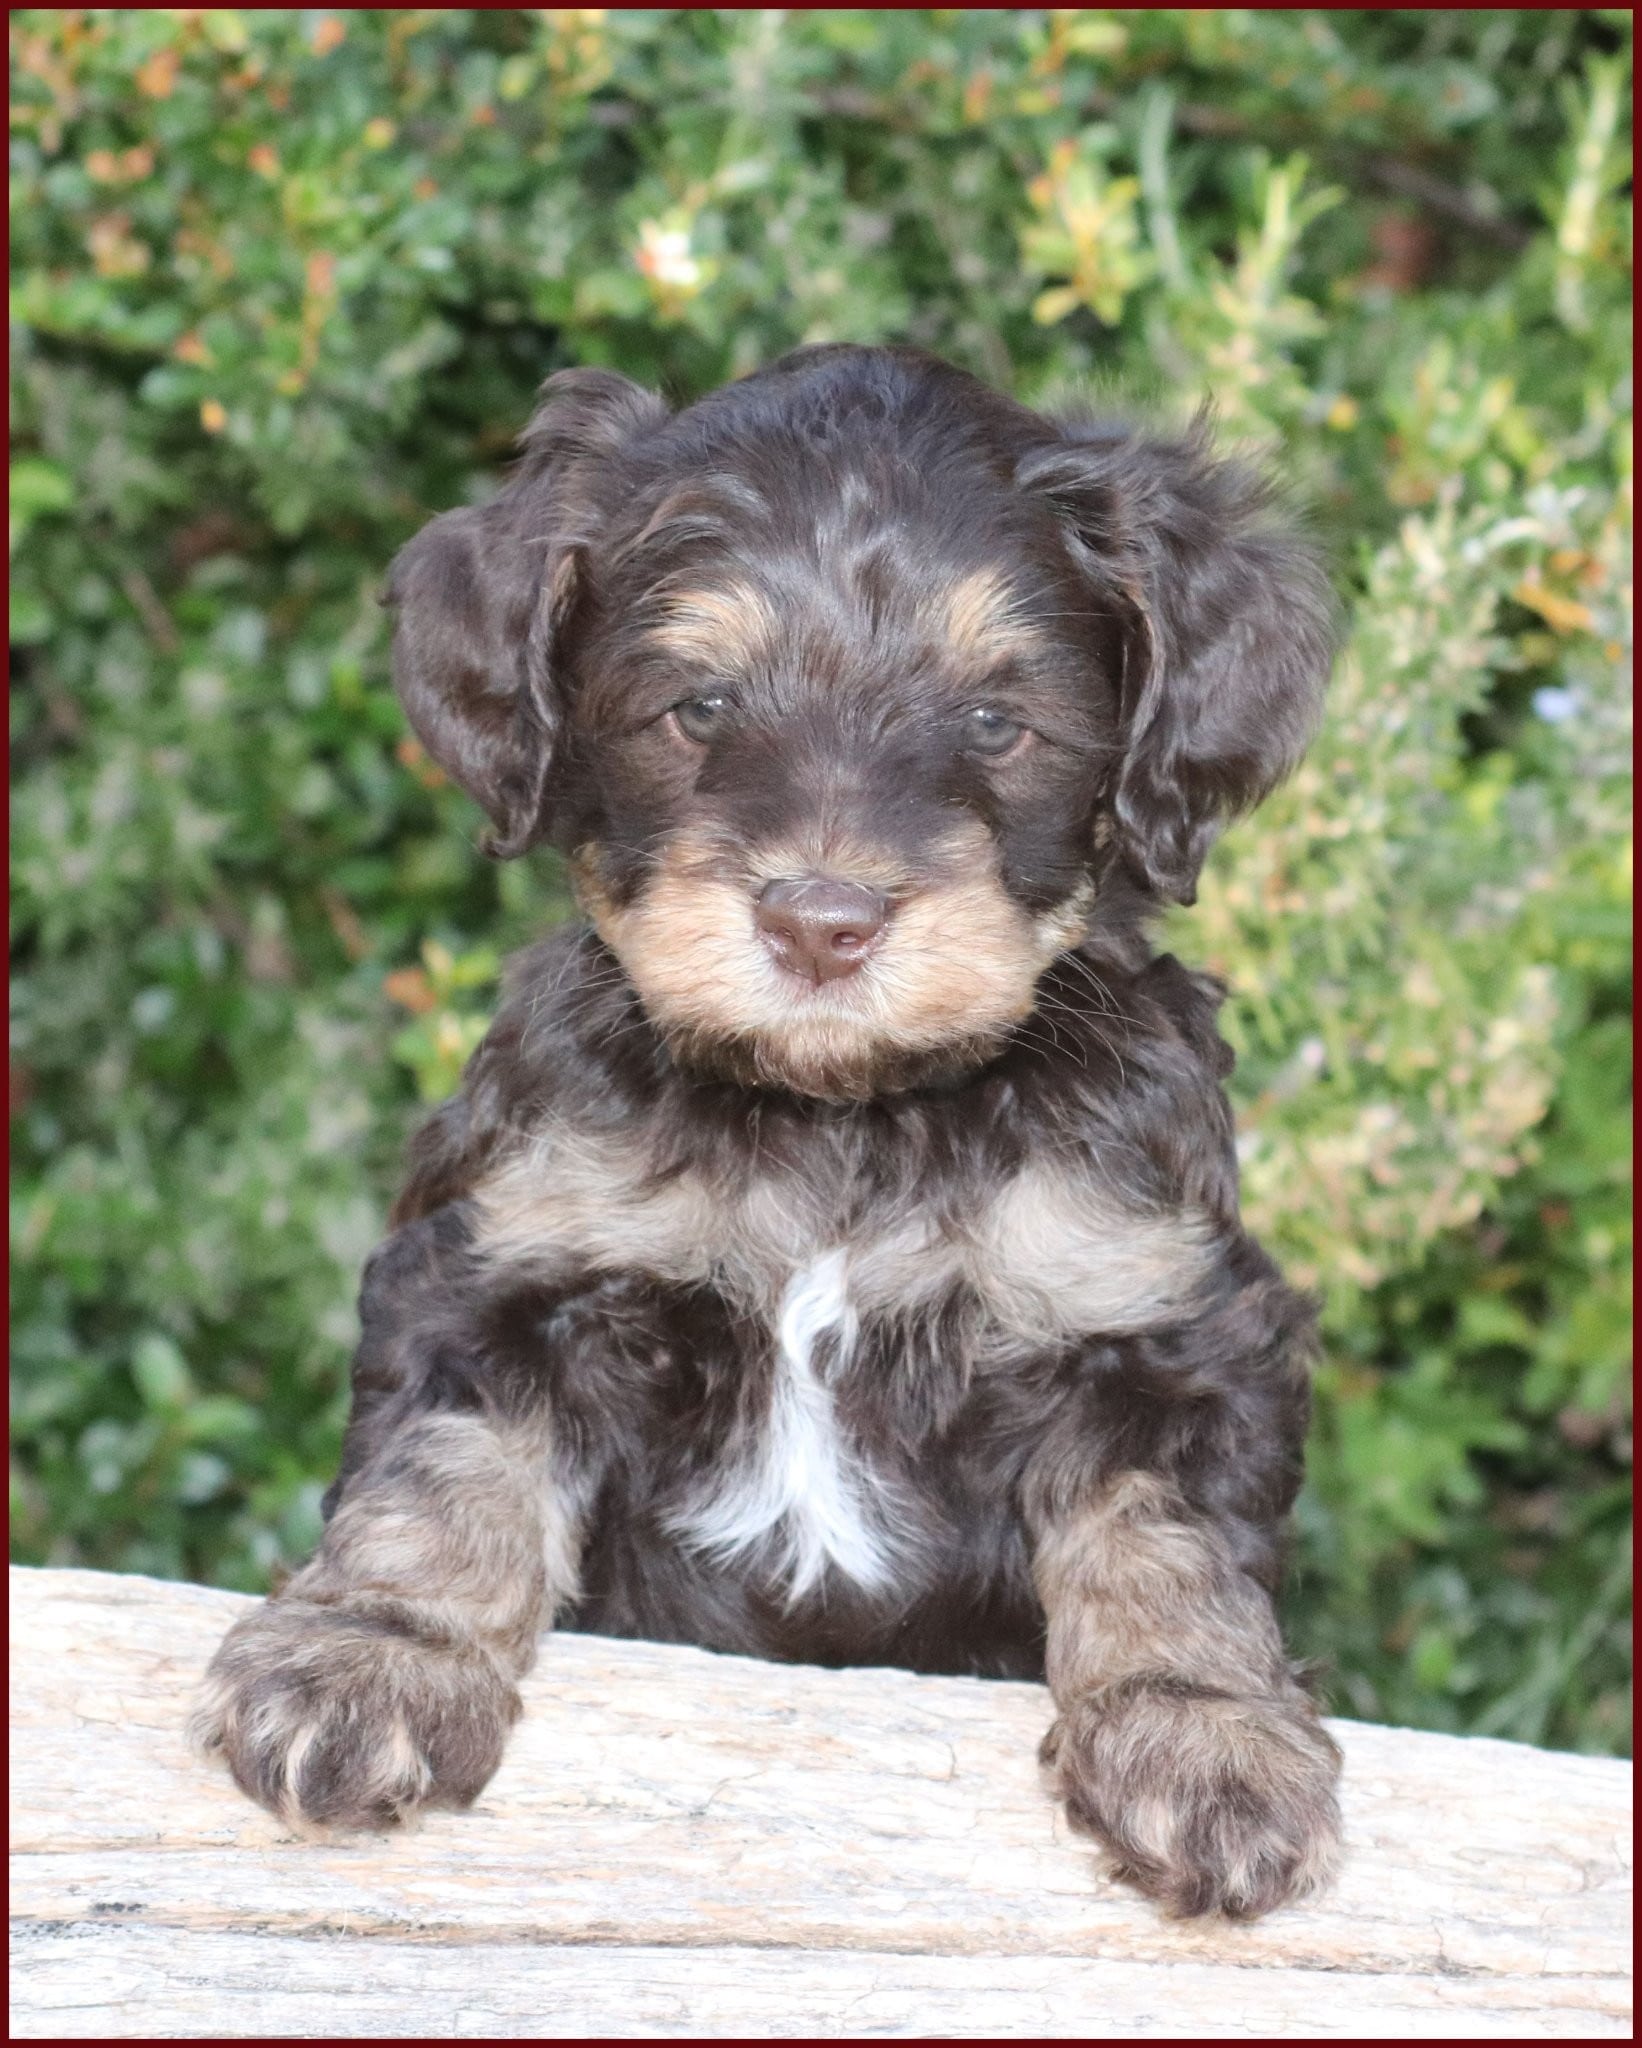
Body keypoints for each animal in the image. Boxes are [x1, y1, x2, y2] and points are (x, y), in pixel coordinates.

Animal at [198, 339, 1334, 1916]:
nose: (821, 920)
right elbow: (448, 1461)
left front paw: (1205, 1738)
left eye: (996, 722)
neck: (832, 1116)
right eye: (700, 707)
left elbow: (1167, 1534)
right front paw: (367, 1658)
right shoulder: (509, 1256)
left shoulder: (1154, 1312)